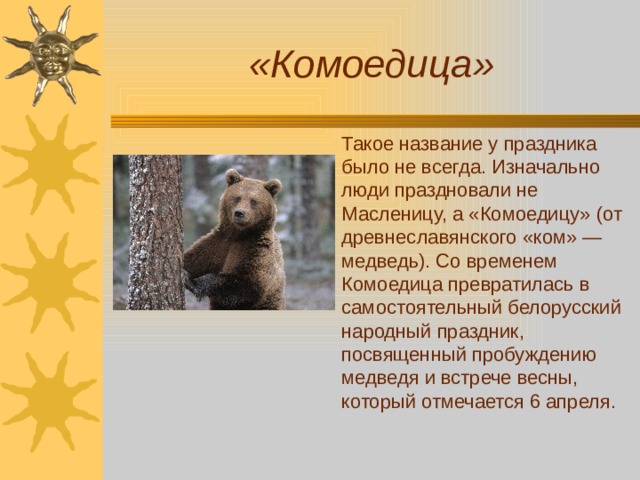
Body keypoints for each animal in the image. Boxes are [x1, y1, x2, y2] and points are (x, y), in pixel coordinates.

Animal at [182, 168, 286, 310]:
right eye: (237, 197)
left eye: (253, 201)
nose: (239, 213)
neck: (239, 234)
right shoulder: (219, 243)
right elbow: (193, 259)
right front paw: (185, 271)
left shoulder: (256, 250)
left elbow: (246, 284)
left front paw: (193, 283)